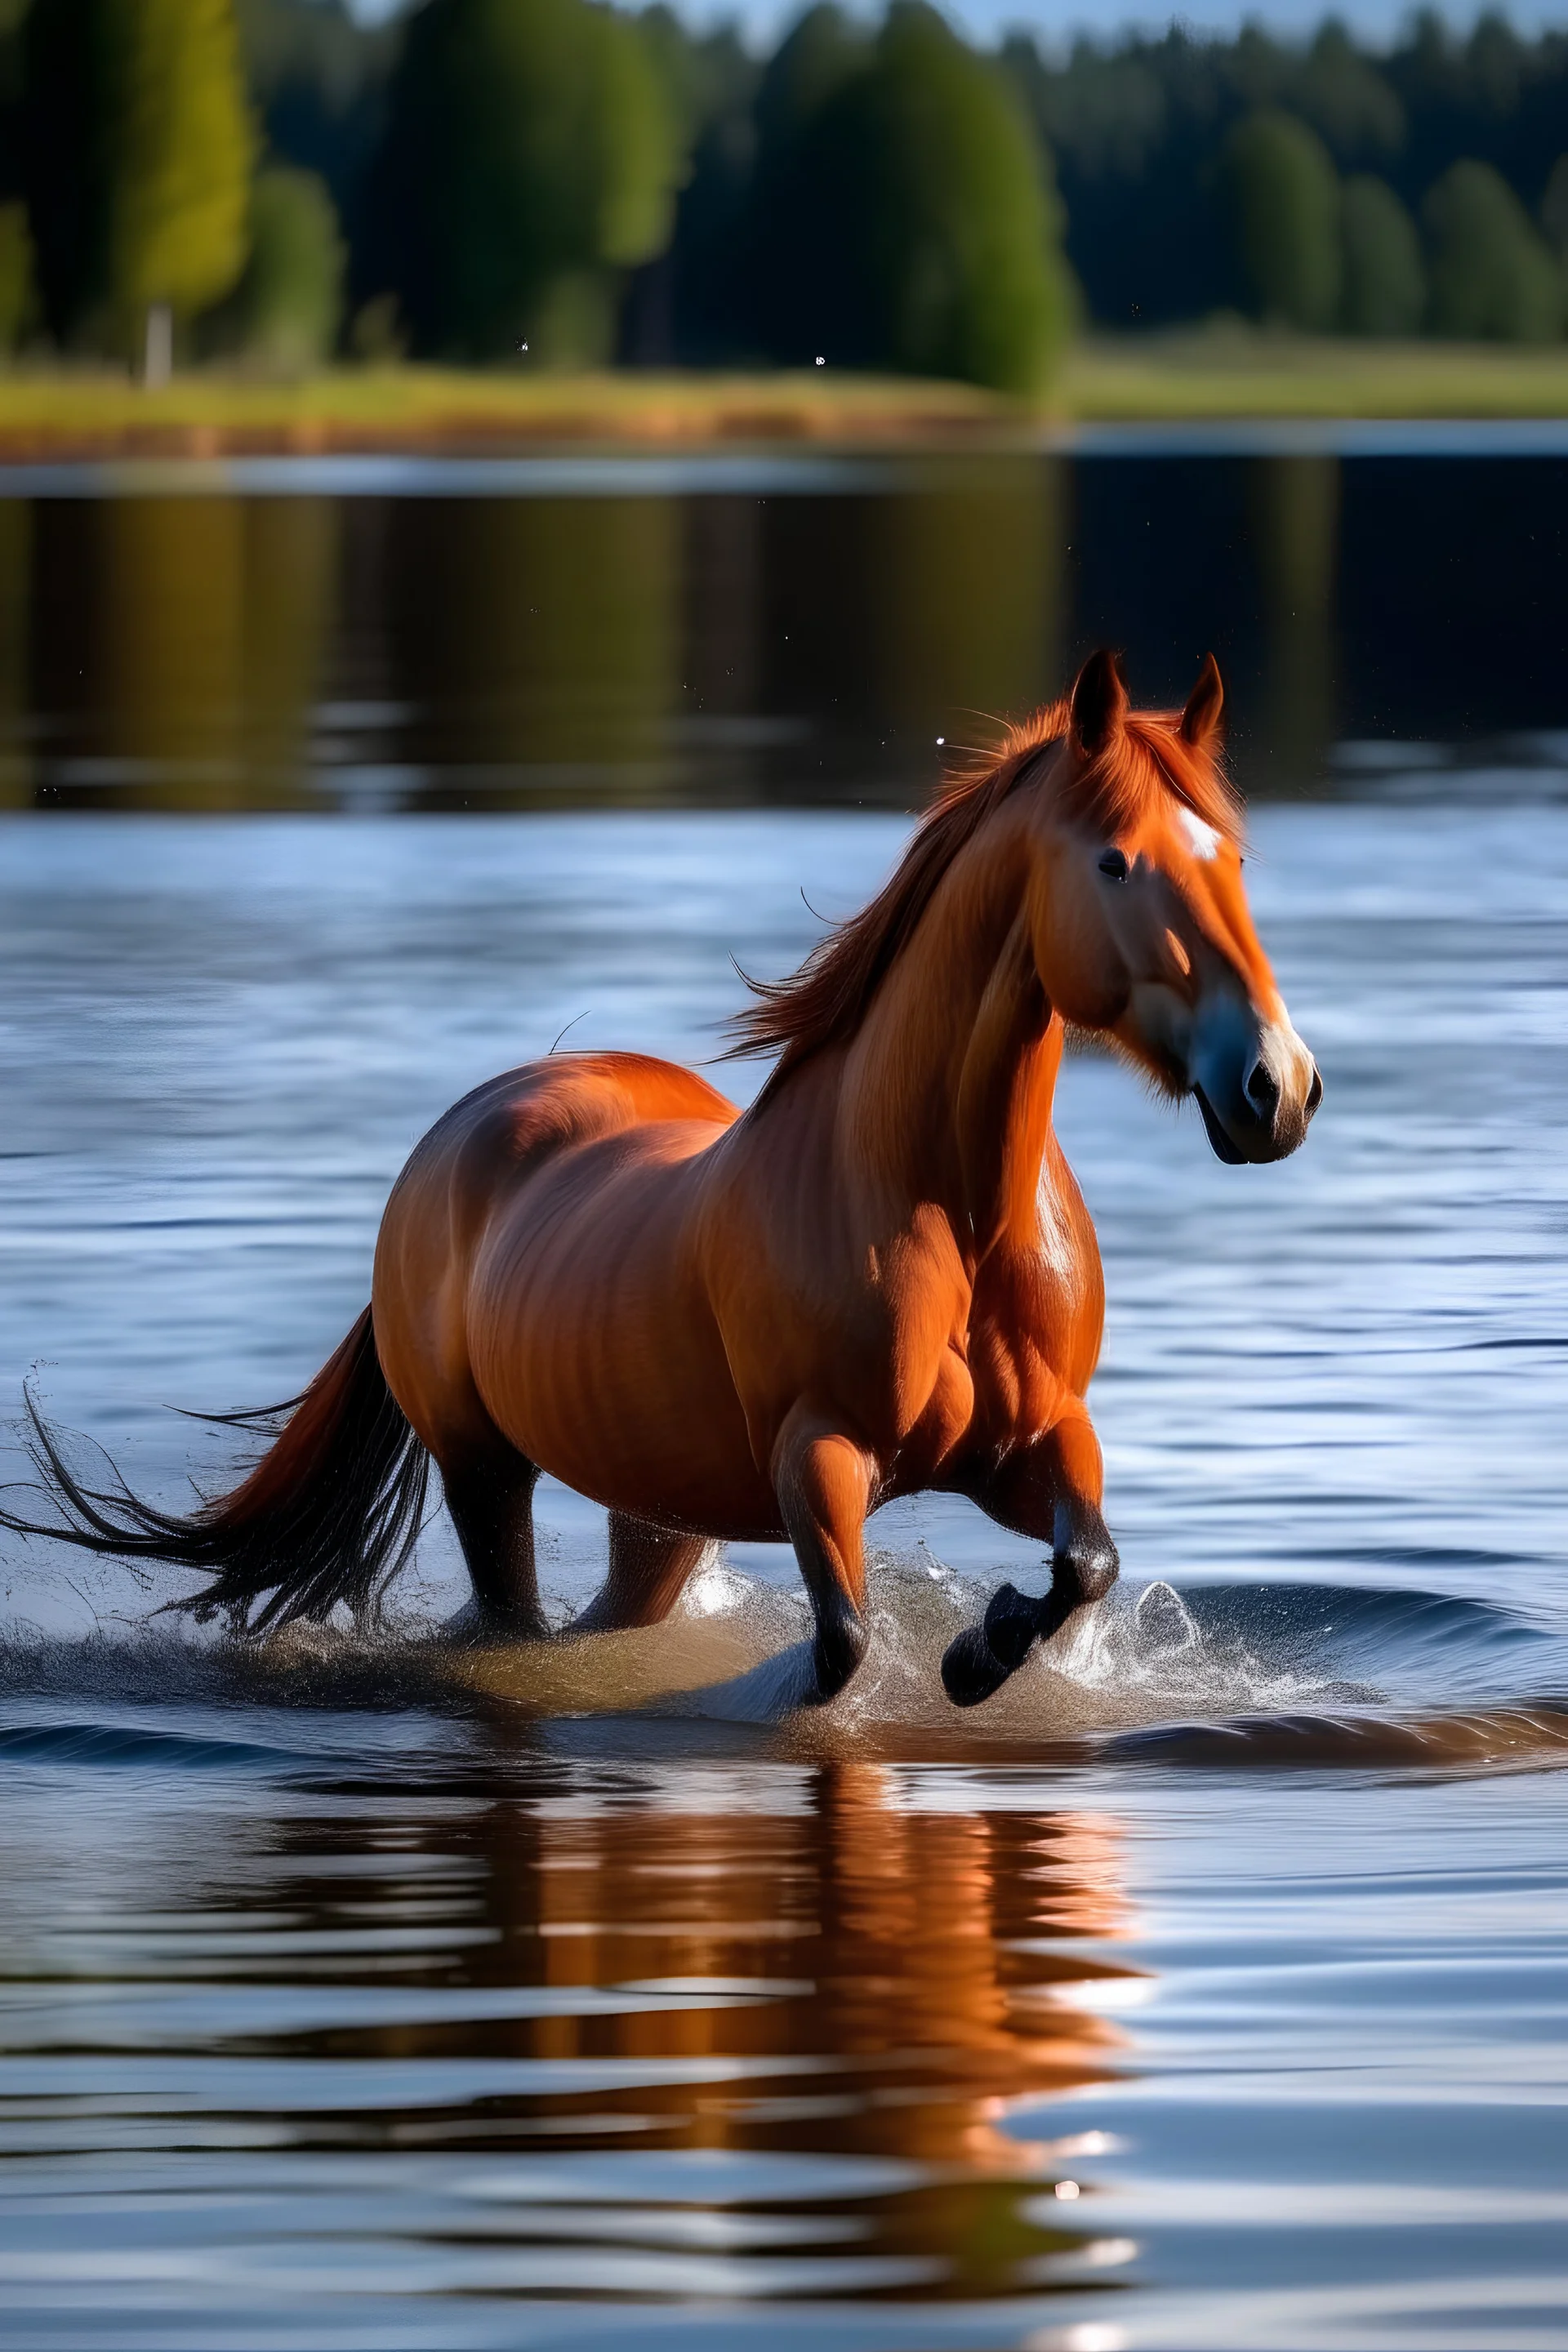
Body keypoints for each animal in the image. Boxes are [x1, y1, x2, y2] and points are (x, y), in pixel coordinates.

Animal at [0, 653, 1325, 1722]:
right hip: (485, 1469)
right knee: (515, 1629)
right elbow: (842, 1647)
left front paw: (979, 1653)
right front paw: (917, 1667)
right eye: (1116, 861)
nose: (1276, 1087)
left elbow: (1087, 1564)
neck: (945, 1210)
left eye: (1234, 857)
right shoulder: (819, 1456)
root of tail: (461, 1132)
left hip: (656, 1510)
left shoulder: (1040, 1439)